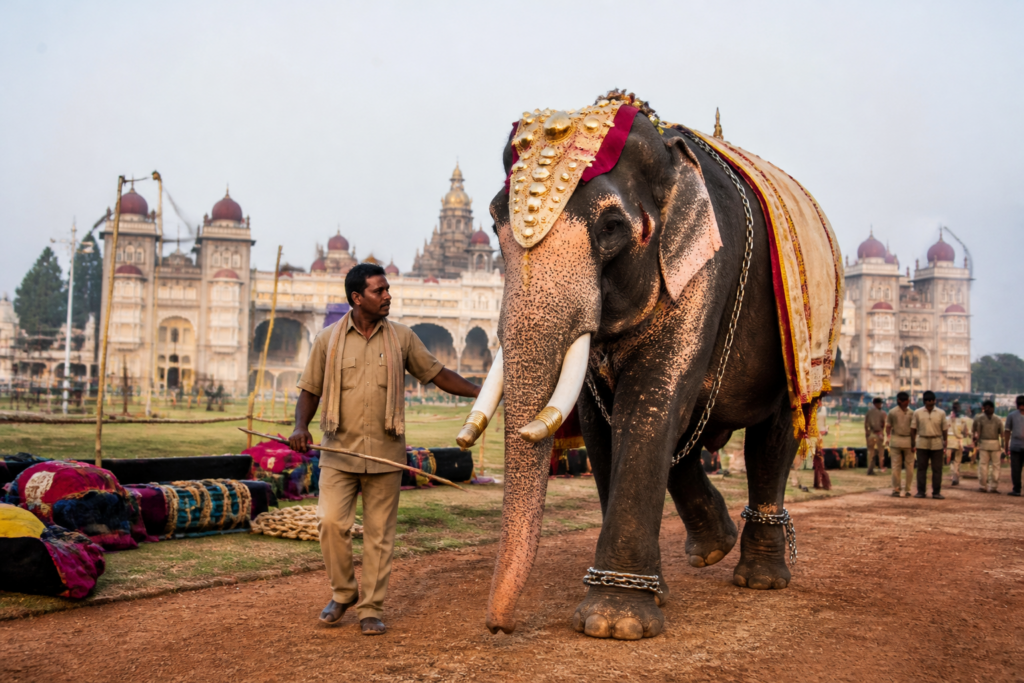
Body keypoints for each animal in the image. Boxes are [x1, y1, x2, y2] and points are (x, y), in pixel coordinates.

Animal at [458, 93, 838, 641]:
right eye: (493, 223)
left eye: (612, 227)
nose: (498, 627)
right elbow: (602, 423)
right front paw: (640, 597)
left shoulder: (708, 266)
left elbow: (648, 403)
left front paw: (612, 622)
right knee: (689, 435)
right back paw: (712, 548)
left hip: (805, 347)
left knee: (773, 435)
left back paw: (760, 578)